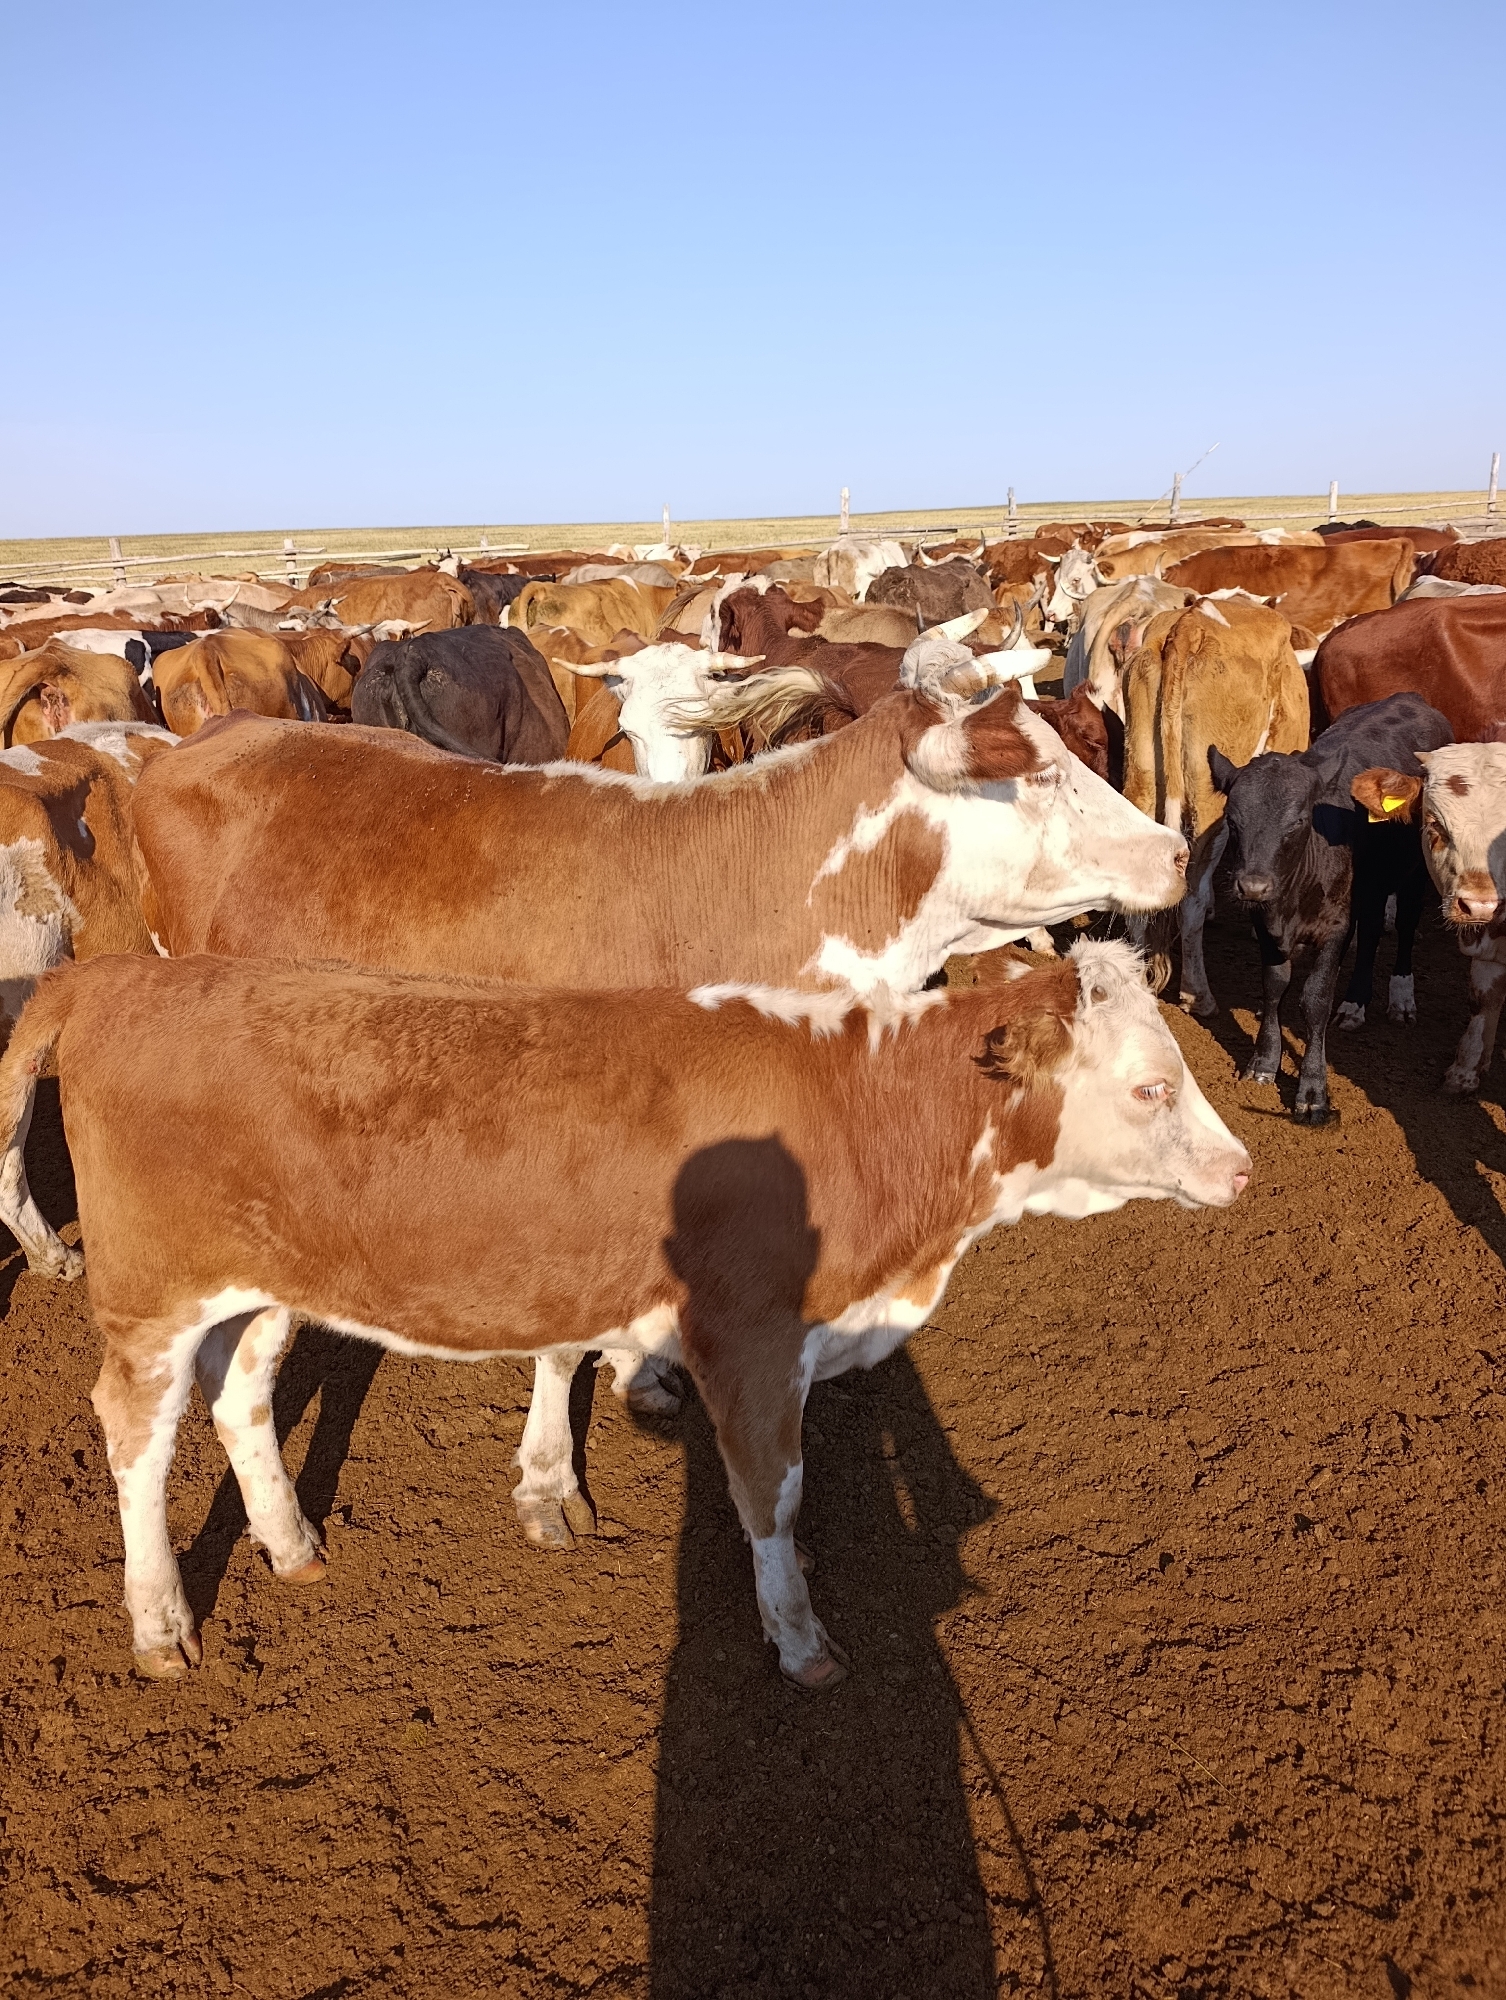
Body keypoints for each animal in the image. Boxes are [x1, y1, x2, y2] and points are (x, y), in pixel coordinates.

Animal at [0, 942, 1248, 1682]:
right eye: (1151, 1085)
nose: (1242, 1170)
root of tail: (116, 974)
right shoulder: (751, 1338)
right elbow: (771, 1488)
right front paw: (799, 1635)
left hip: (262, 1286)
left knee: (241, 1394)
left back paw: (292, 1541)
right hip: (152, 1294)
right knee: (135, 1432)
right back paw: (160, 1621)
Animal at [1209, 692, 1454, 1122]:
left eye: (1298, 820)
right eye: (1232, 820)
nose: (1253, 885)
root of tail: (1410, 697)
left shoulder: (1336, 927)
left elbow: (1315, 1000)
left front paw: (1312, 1091)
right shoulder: (1265, 922)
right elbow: (1274, 986)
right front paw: (1263, 1062)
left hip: (1415, 870)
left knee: (1406, 924)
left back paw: (1401, 996)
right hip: (1370, 888)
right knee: (1371, 930)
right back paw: (1355, 1003)